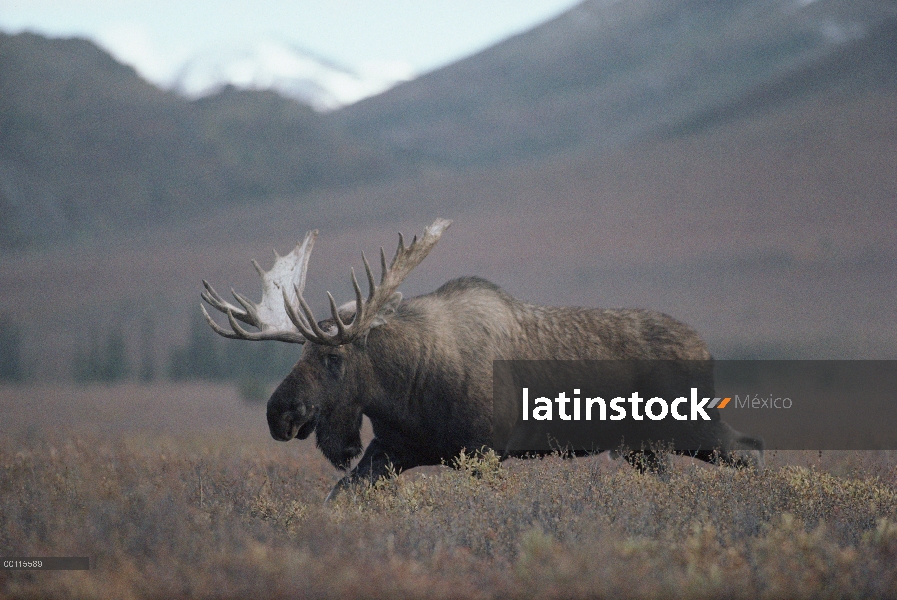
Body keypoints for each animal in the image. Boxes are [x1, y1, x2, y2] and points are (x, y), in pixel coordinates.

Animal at [201, 218, 764, 500]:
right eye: (302, 351)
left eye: (334, 357)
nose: (279, 413)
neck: (407, 389)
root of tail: (705, 346)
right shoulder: (392, 450)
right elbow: (339, 496)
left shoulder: (485, 452)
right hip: (645, 449)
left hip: (690, 428)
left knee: (751, 448)